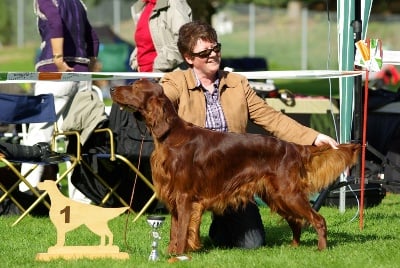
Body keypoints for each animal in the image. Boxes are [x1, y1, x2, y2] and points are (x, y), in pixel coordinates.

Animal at [111, 79, 360, 255]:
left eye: (135, 86)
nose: (112, 88)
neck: (171, 136)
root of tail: (292, 147)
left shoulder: (184, 197)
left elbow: (181, 232)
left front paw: (178, 256)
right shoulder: (174, 198)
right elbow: (174, 230)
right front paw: (171, 253)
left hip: (288, 193)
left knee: (317, 219)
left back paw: (321, 249)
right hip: (277, 196)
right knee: (297, 221)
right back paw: (294, 247)